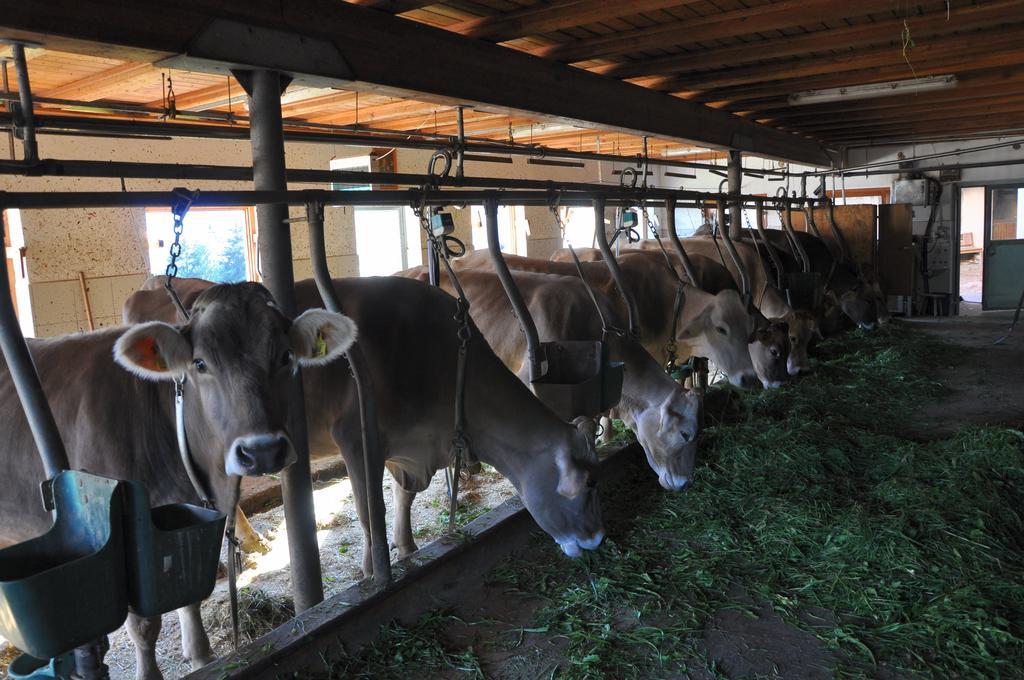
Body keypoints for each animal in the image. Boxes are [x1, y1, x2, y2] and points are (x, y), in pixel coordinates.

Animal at [0, 280, 360, 680]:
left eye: (285, 355)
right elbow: (144, 624)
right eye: (200, 363)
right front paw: (151, 674)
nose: (263, 451)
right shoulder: (117, 544)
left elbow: (188, 595)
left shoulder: (185, 528)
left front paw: (201, 656)